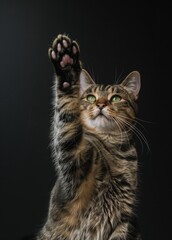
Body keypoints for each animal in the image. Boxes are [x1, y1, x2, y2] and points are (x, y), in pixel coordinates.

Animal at [36, 33, 141, 240]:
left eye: (116, 98)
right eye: (91, 97)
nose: (100, 104)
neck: (113, 147)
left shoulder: (123, 218)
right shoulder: (73, 159)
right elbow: (67, 116)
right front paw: (66, 65)